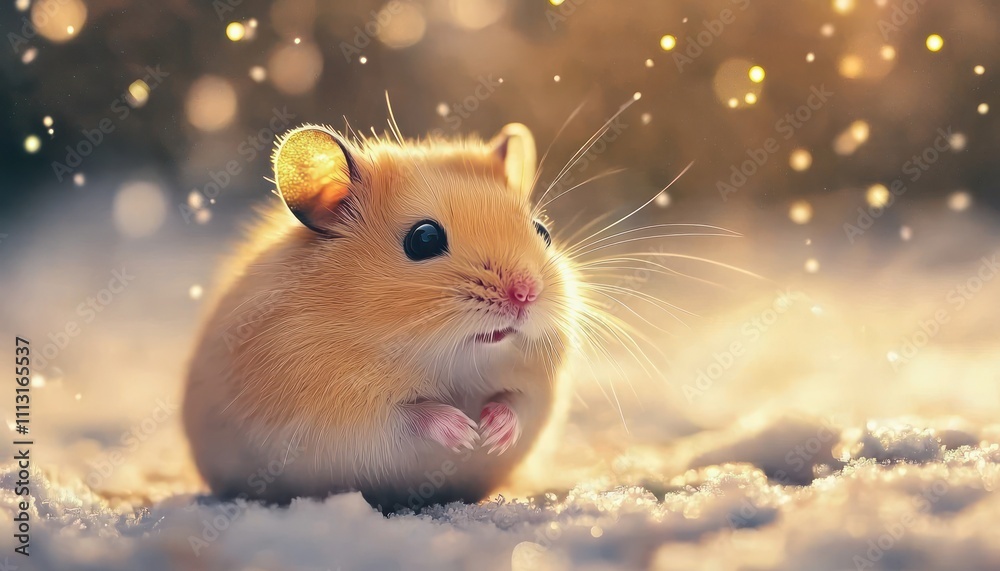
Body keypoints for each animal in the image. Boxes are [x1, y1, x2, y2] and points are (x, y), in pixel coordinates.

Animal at [182, 120, 582, 511]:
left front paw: (493, 433)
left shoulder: (538, 391)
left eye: (543, 232)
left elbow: (516, 404)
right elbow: (405, 418)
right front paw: (466, 433)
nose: (526, 294)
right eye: (423, 239)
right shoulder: (338, 413)